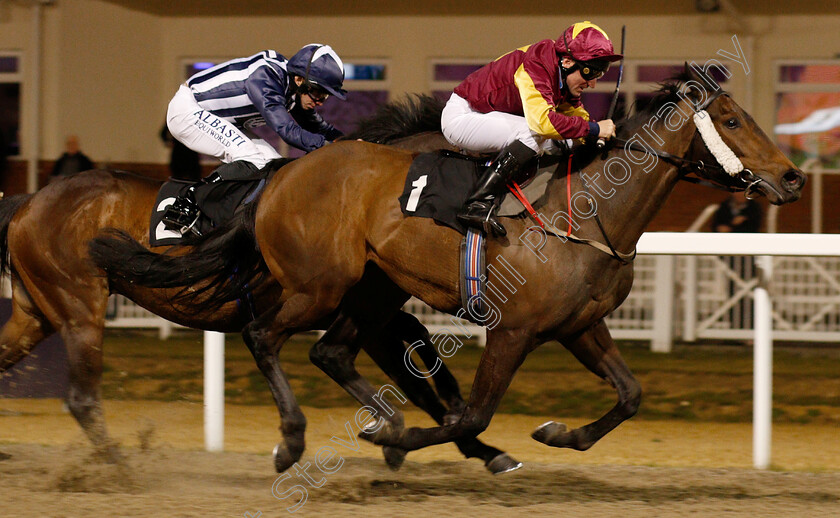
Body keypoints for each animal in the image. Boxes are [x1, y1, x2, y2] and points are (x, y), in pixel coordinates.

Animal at [0, 96, 520, 476]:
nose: (490, 221)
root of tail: (30, 201)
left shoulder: (371, 312)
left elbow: (424, 365)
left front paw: (473, 442)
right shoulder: (355, 312)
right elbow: (414, 377)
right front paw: (445, 440)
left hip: (37, 311)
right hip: (79, 309)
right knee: (83, 397)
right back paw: (118, 466)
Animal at [93, 65, 808, 468]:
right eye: (731, 120)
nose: (794, 178)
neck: (585, 217)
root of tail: (278, 175)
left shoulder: (581, 327)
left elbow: (631, 396)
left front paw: (556, 434)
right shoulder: (513, 331)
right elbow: (473, 414)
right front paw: (408, 444)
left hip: (372, 291)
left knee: (330, 352)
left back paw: (377, 422)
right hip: (321, 284)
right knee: (262, 334)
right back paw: (295, 440)